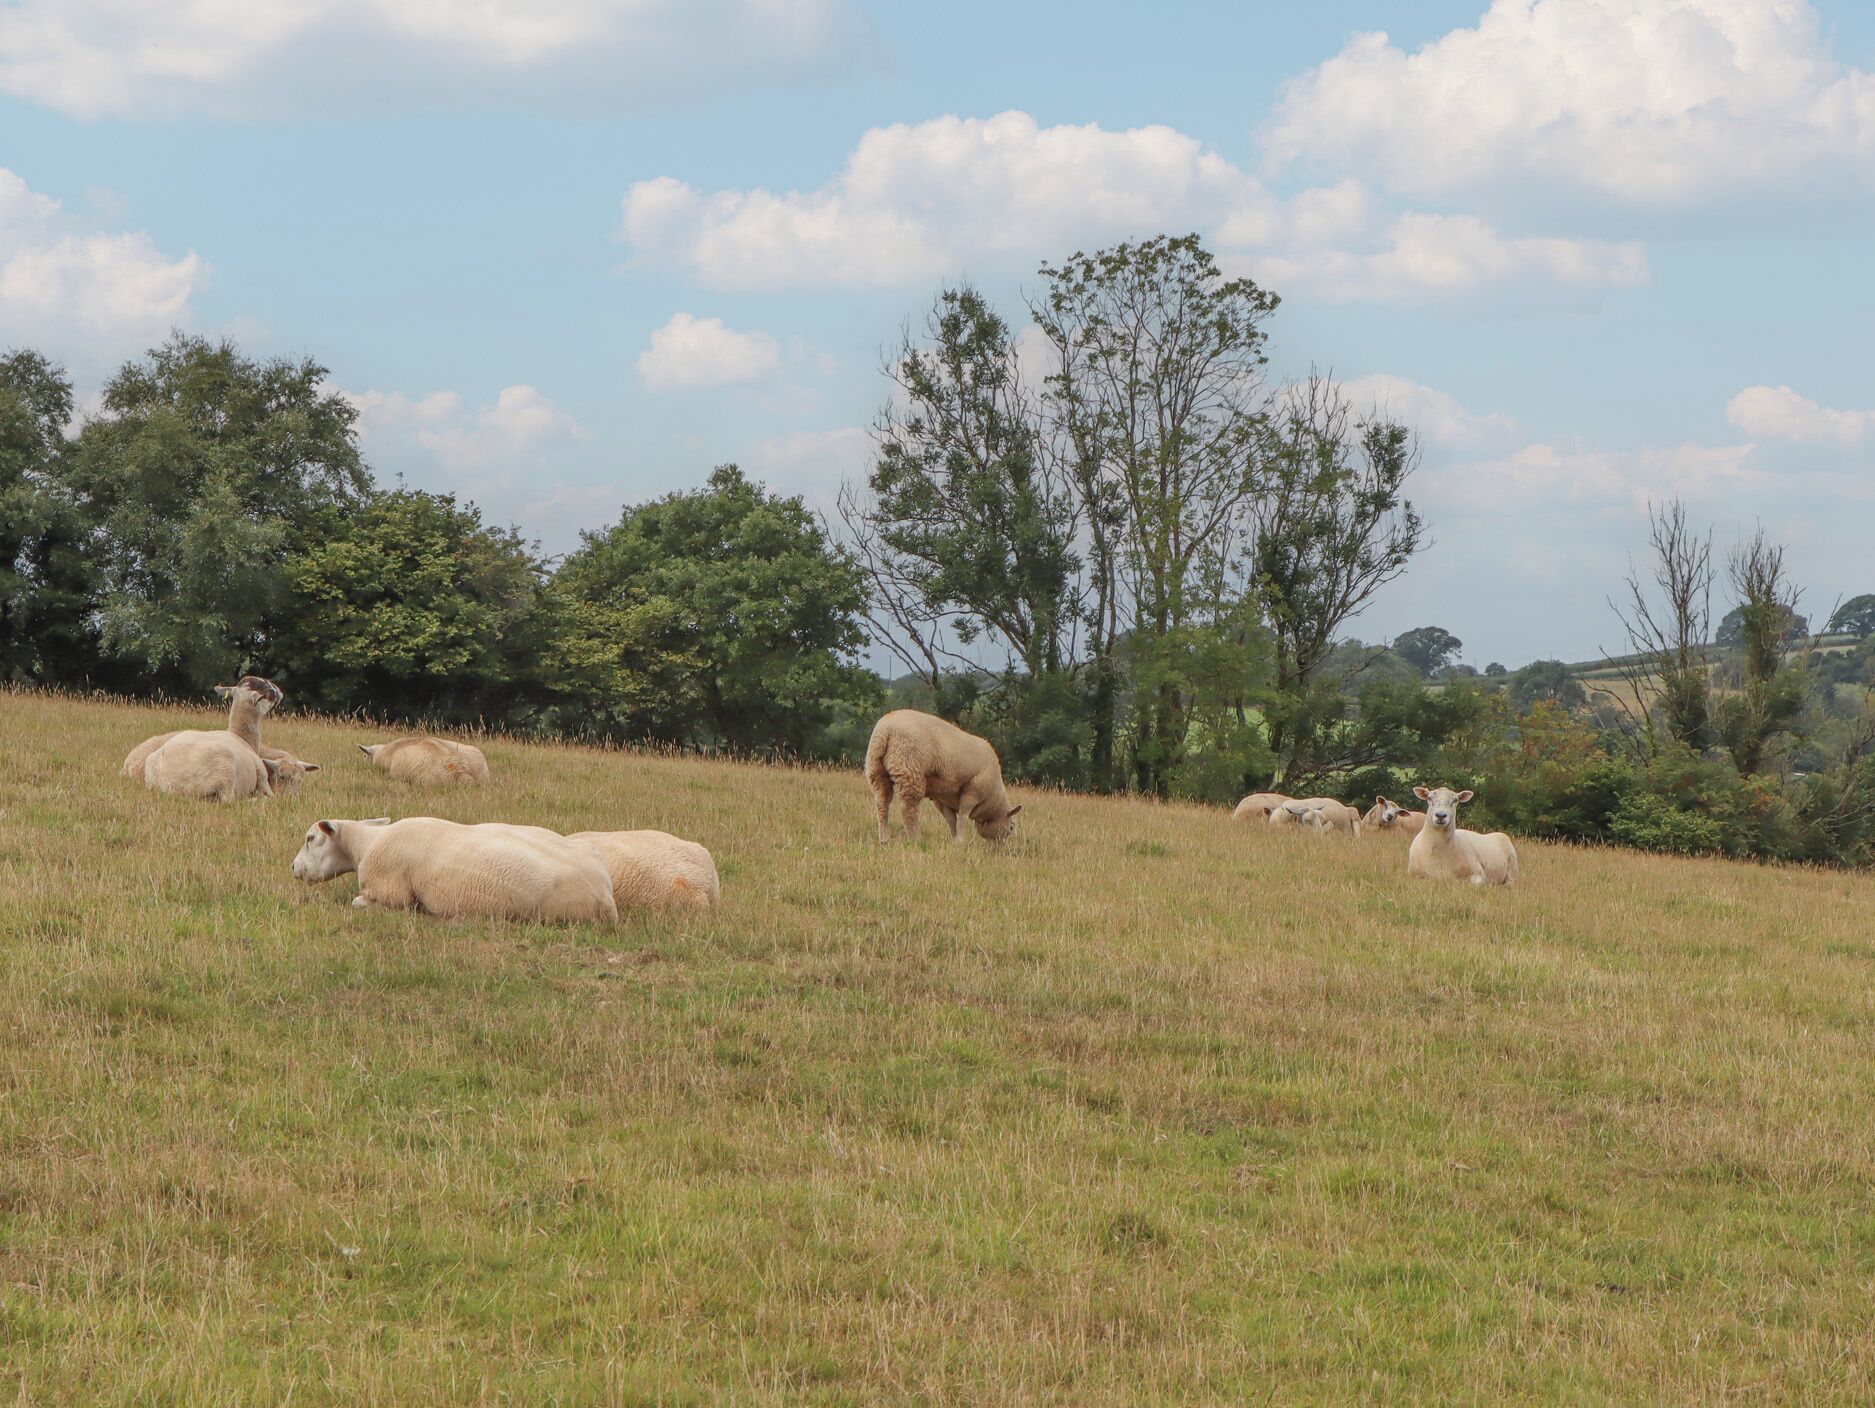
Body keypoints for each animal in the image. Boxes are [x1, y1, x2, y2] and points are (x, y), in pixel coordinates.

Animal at [291, 817, 618, 924]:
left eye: (311, 838)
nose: (293, 867)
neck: (367, 844)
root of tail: (605, 895)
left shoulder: (390, 895)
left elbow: (358, 902)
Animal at [865, 709, 1022, 843]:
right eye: (1011, 828)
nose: (998, 850)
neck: (992, 797)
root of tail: (885, 730)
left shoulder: (942, 797)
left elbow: (951, 819)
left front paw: (953, 839)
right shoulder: (973, 790)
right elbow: (963, 816)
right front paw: (960, 841)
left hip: (877, 770)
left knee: (882, 803)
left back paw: (884, 839)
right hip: (910, 770)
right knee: (908, 809)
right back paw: (916, 838)